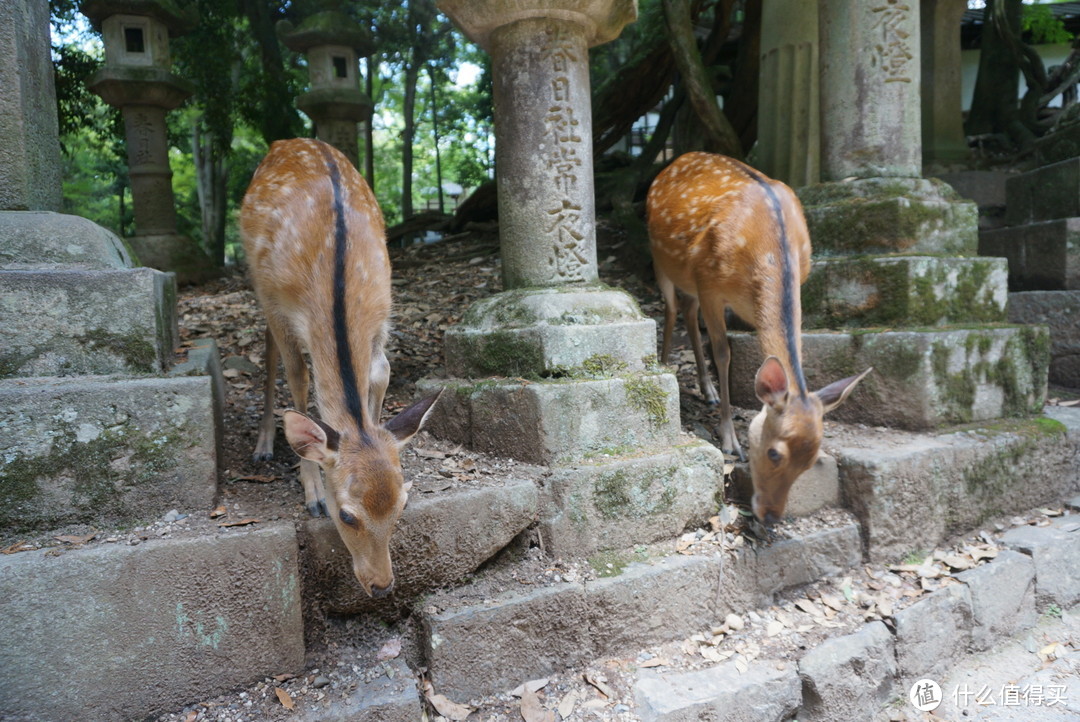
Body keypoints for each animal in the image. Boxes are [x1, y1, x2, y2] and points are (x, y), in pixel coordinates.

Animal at [243, 136, 440, 595]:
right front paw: (312, 493)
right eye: (347, 515)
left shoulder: (383, 314)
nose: (382, 585)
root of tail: (287, 140)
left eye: (403, 504)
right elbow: (299, 379)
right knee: (270, 351)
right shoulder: (279, 304)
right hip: (257, 285)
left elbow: (380, 374)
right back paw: (263, 446)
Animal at [643, 152, 872, 524]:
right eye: (774, 453)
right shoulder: (709, 283)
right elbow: (723, 353)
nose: (771, 515)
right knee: (673, 309)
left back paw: (706, 390)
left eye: (811, 461)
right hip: (660, 257)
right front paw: (729, 441)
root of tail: (676, 159)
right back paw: (664, 367)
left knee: (687, 311)